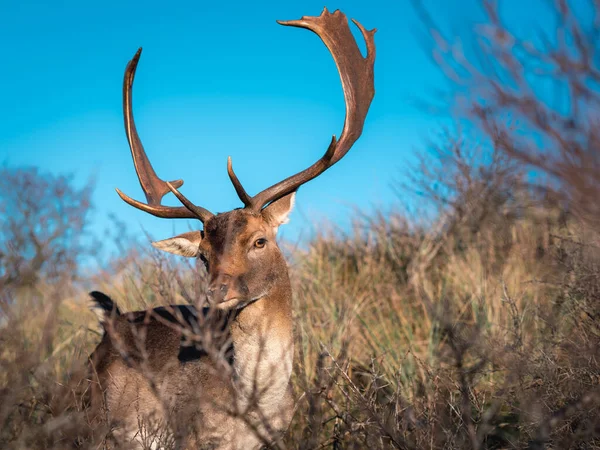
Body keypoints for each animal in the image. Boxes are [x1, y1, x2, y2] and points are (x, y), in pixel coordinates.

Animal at [88, 7, 376, 450]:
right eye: (203, 256)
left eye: (260, 240)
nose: (216, 291)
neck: (254, 409)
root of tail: (110, 322)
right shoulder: (188, 434)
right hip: (100, 423)